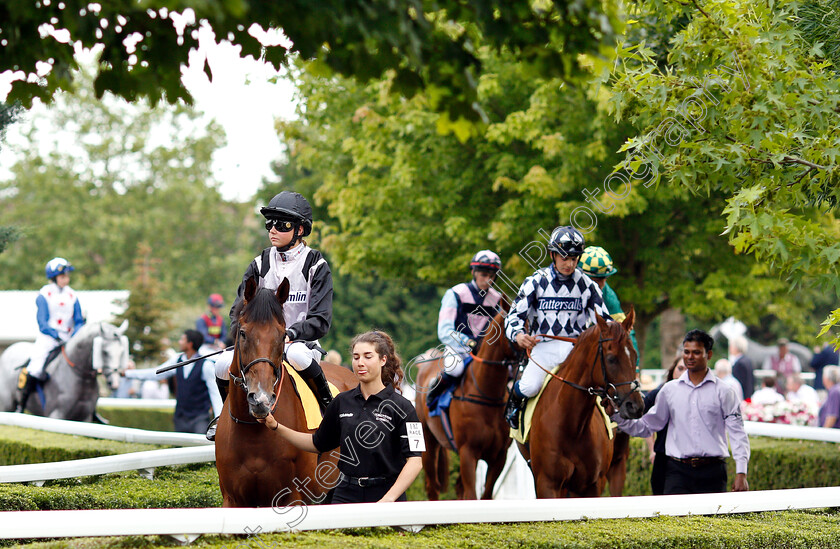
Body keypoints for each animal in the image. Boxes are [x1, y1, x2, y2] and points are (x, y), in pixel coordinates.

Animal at [215, 276, 356, 508]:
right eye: (242, 333)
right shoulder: (234, 499)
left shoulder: (292, 498)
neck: (253, 431)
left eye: (283, 336)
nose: (261, 399)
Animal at [414, 308, 520, 500]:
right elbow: (471, 495)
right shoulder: (468, 452)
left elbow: (485, 495)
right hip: (428, 443)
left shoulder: (499, 457)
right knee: (432, 487)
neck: (487, 397)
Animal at [520, 308, 644, 496]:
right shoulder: (547, 483)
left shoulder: (592, 484)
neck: (572, 426)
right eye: (611, 358)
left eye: (635, 355)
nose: (635, 406)